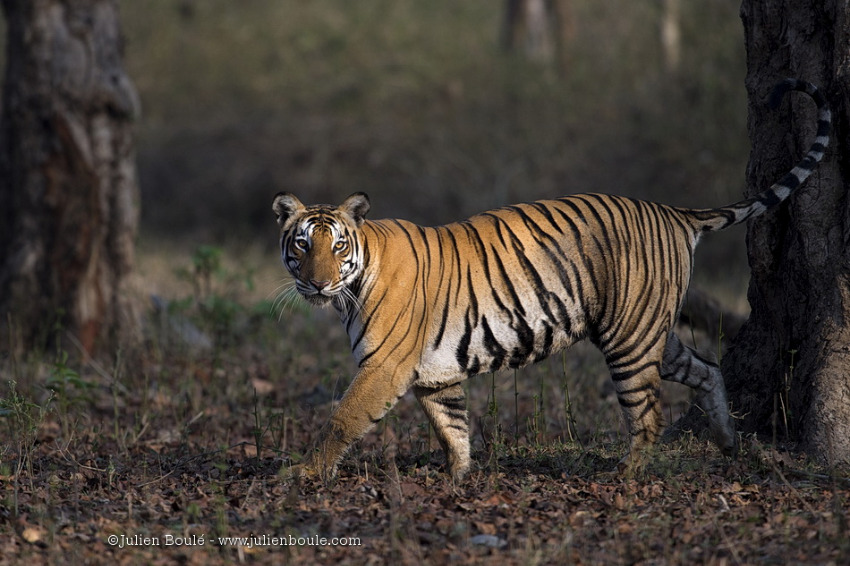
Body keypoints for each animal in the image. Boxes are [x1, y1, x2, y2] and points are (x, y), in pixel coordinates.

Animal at [270, 77, 828, 482]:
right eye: (302, 245)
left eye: (336, 246)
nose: (316, 284)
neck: (354, 282)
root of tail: (674, 212)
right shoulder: (435, 373)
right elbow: (453, 427)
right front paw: (457, 477)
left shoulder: (385, 366)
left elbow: (342, 420)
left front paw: (303, 474)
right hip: (653, 332)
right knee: (708, 368)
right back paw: (728, 443)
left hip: (630, 338)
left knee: (648, 414)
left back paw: (627, 476)